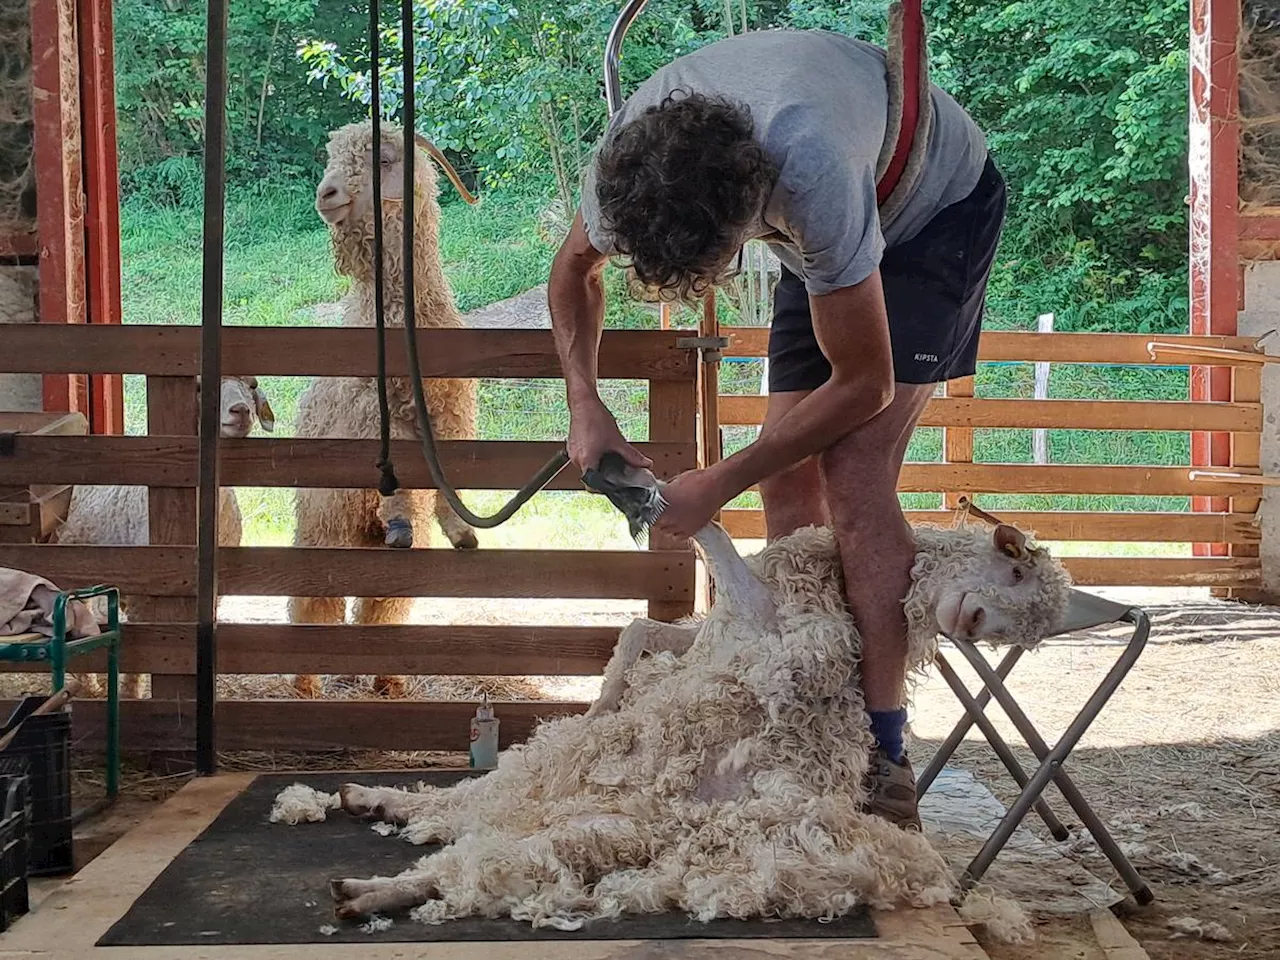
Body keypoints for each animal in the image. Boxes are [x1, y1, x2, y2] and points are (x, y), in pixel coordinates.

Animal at [288, 519, 1070, 931]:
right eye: (1016, 576)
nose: (973, 624)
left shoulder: (761, 614)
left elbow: (709, 533)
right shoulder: (714, 626)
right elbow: (642, 630)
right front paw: (606, 701)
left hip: (616, 829)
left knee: (483, 864)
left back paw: (364, 891)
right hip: (563, 804)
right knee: (459, 806)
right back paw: (370, 800)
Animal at [290, 124, 481, 701]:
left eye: (383, 157)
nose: (326, 194)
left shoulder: (454, 415)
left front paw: (461, 530)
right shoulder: (367, 420)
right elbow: (399, 465)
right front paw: (405, 519)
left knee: (379, 599)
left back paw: (383, 679)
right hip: (323, 522)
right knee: (315, 600)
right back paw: (306, 683)